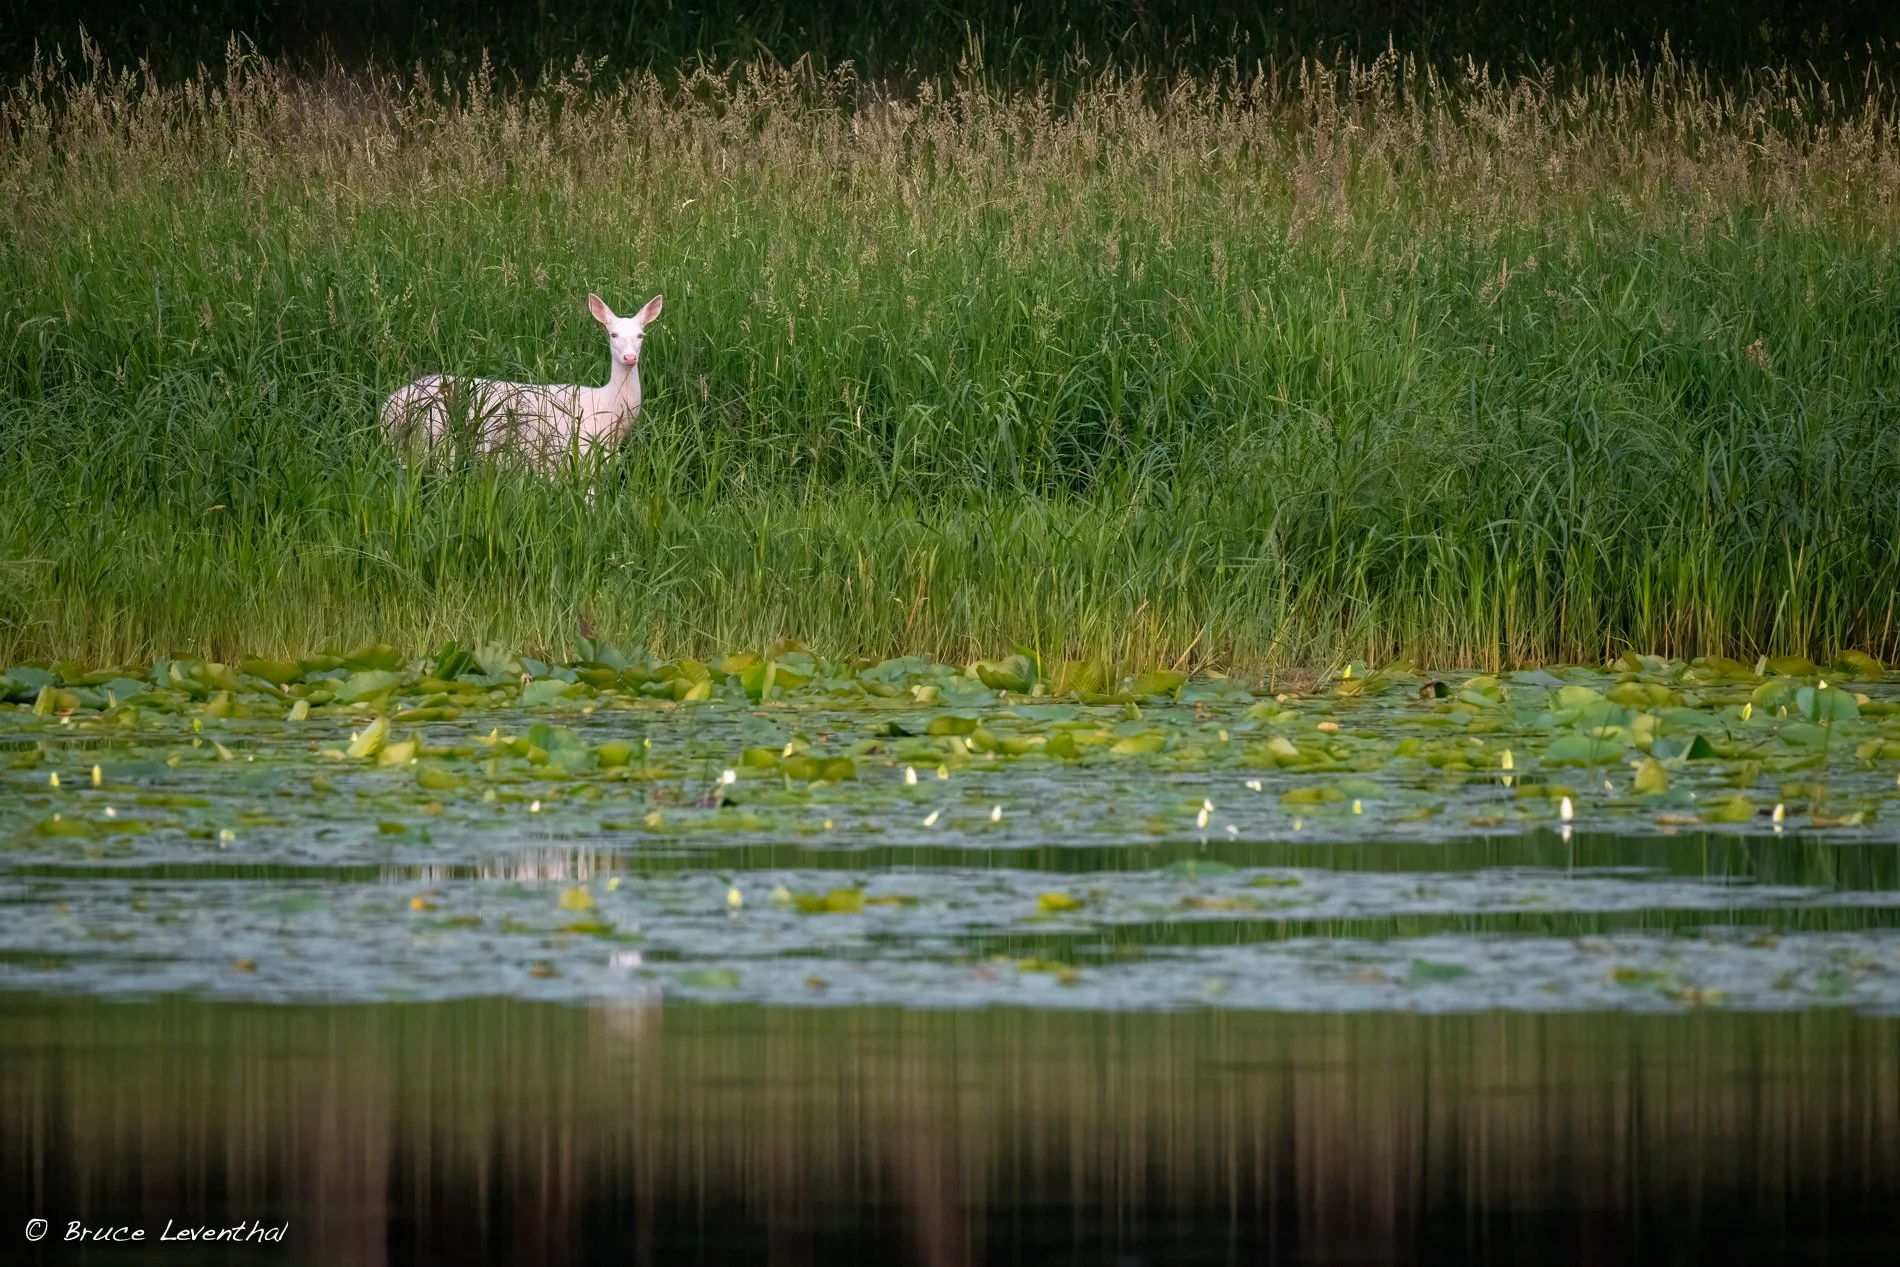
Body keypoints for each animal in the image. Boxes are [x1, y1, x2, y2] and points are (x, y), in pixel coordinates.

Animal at [381, 293, 663, 467]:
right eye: (612, 334)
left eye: (641, 335)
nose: (629, 357)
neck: (606, 409)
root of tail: (387, 406)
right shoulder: (576, 453)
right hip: (430, 441)